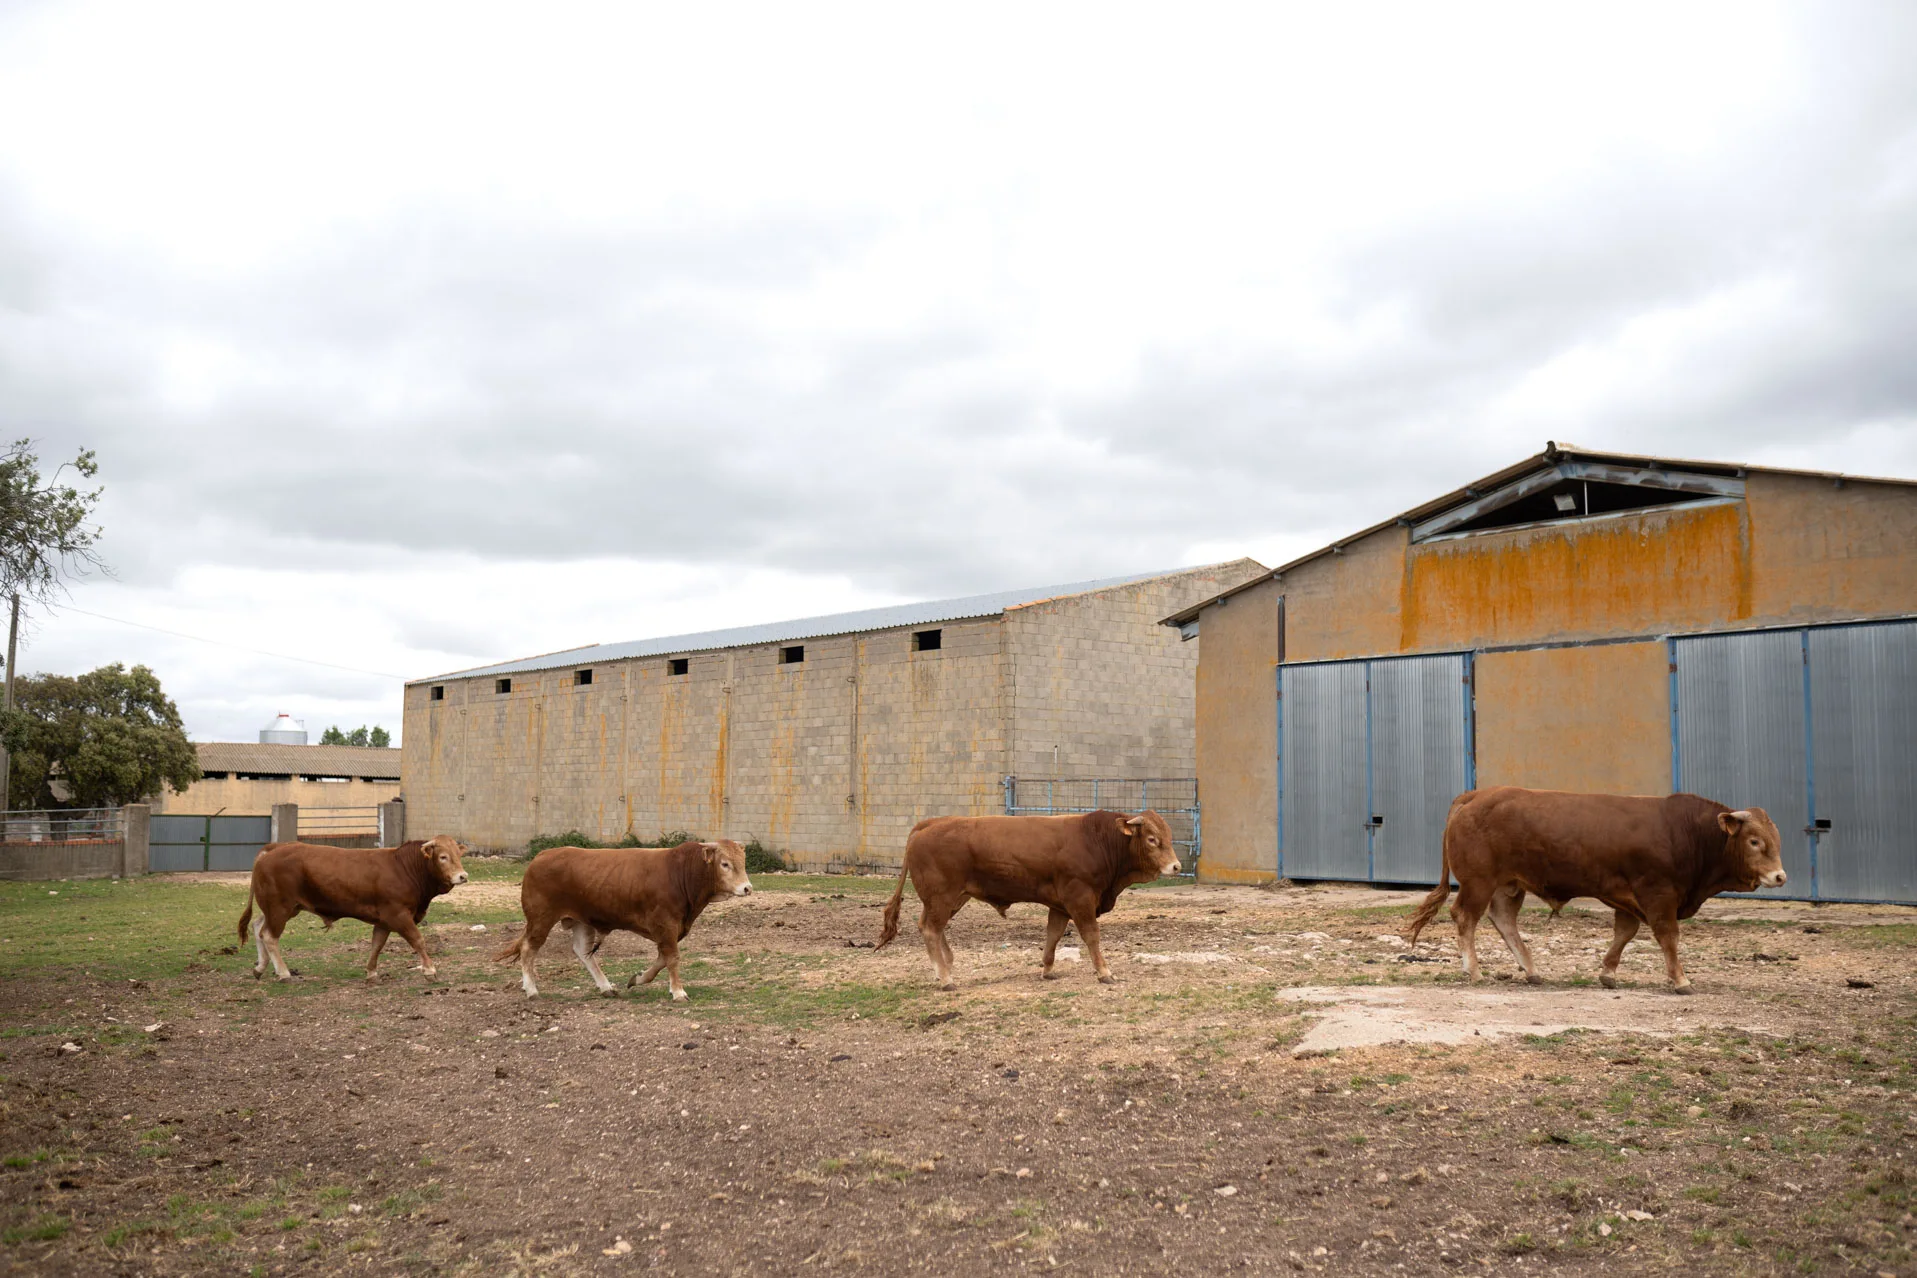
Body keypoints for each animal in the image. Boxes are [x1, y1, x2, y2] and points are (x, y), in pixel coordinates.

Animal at [237, 835, 469, 988]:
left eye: (459, 855)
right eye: (443, 857)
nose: (463, 876)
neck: (404, 868)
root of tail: (274, 848)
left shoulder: (384, 920)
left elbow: (377, 945)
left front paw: (371, 973)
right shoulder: (398, 915)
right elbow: (418, 940)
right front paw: (430, 970)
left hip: (281, 908)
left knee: (258, 926)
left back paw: (260, 967)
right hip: (280, 907)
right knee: (269, 935)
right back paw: (283, 972)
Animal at [498, 839, 751, 996]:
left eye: (743, 862)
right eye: (725, 864)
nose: (747, 888)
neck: (681, 872)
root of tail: (542, 855)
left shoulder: (671, 930)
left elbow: (661, 959)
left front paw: (637, 979)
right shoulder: (666, 925)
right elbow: (671, 958)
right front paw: (679, 991)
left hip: (581, 921)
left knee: (583, 952)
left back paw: (606, 987)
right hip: (541, 918)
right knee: (529, 948)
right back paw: (531, 990)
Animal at [874, 808, 1173, 988]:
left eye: (1167, 836)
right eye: (1151, 839)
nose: (1176, 866)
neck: (1097, 840)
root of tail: (930, 823)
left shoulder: (1060, 906)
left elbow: (1053, 935)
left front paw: (1047, 970)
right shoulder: (1080, 899)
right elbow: (1091, 936)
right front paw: (1104, 972)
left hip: (950, 899)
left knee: (933, 928)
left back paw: (944, 968)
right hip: (942, 897)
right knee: (931, 929)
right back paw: (946, 978)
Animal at [1403, 785, 1786, 996]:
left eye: (1774, 839)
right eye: (1754, 841)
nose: (1780, 876)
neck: (1685, 832)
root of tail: (1478, 795)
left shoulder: (1628, 898)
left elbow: (1625, 933)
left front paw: (1608, 973)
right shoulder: (1658, 893)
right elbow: (1668, 936)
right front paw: (1680, 979)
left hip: (1508, 885)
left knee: (1503, 920)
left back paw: (1531, 970)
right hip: (1478, 882)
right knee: (1465, 917)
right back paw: (1474, 970)